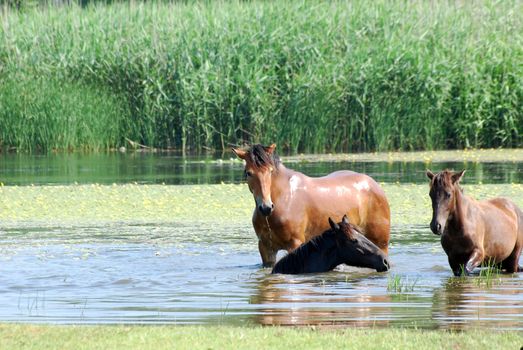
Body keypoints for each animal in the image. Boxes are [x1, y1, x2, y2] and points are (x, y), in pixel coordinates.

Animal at [232, 144, 388, 266]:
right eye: (248, 173)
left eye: (270, 171)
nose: (266, 207)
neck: (284, 200)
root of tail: (374, 185)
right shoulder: (266, 249)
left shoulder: (294, 244)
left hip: (381, 243)